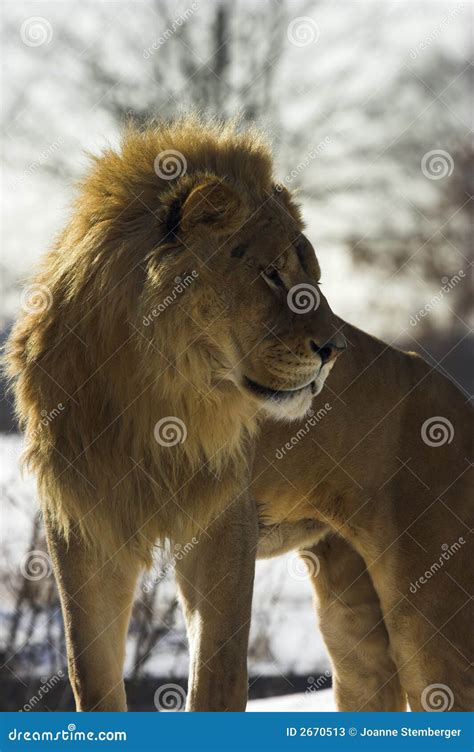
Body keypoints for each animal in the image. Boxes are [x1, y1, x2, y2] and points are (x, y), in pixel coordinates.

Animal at [5, 115, 472, 713]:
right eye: (271, 274)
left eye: (313, 279)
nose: (335, 349)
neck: (149, 392)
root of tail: (458, 397)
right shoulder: (84, 523)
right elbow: (90, 676)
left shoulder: (223, 521)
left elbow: (217, 676)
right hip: (351, 616)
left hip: (432, 607)